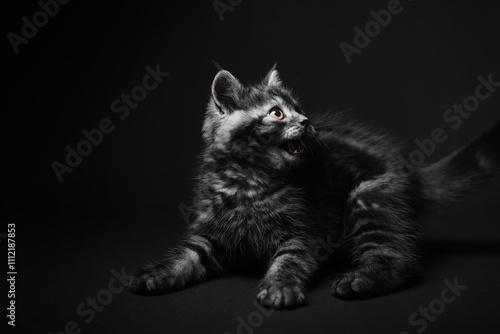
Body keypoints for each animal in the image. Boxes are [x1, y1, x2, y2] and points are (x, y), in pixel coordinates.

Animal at [130, 64, 500, 308]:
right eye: (277, 113)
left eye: (299, 109)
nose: (307, 122)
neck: (251, 182)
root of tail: (411, 173)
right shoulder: (210, 236)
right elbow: (184, 257)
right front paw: (155, 274)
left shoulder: (305, 231)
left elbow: (289, 260)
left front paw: (280, 288)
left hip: (368, 196)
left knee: (397, 258)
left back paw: (359, 280)